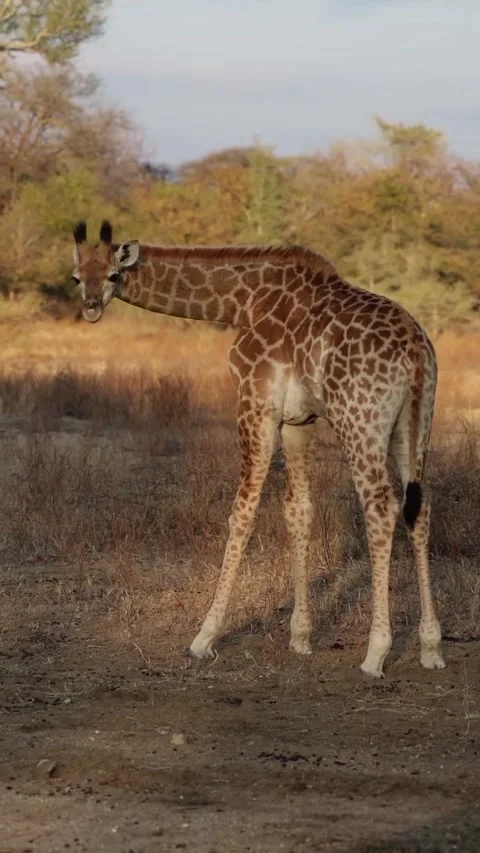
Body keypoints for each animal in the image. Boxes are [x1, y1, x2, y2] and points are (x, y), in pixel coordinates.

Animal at [72, 219, 445, 678]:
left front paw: (205, 636)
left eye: (113, 275)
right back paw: (430, 646)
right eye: (76, 277)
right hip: (415, 425)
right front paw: (300, 636)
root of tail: (414, 349)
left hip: (360, 422)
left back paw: (375, 653)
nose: (90, 307)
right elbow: (299, 510)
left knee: (380, 506)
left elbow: (242, 513)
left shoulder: (255, 402)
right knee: (419, 507)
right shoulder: (298, 420)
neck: (242, 300)